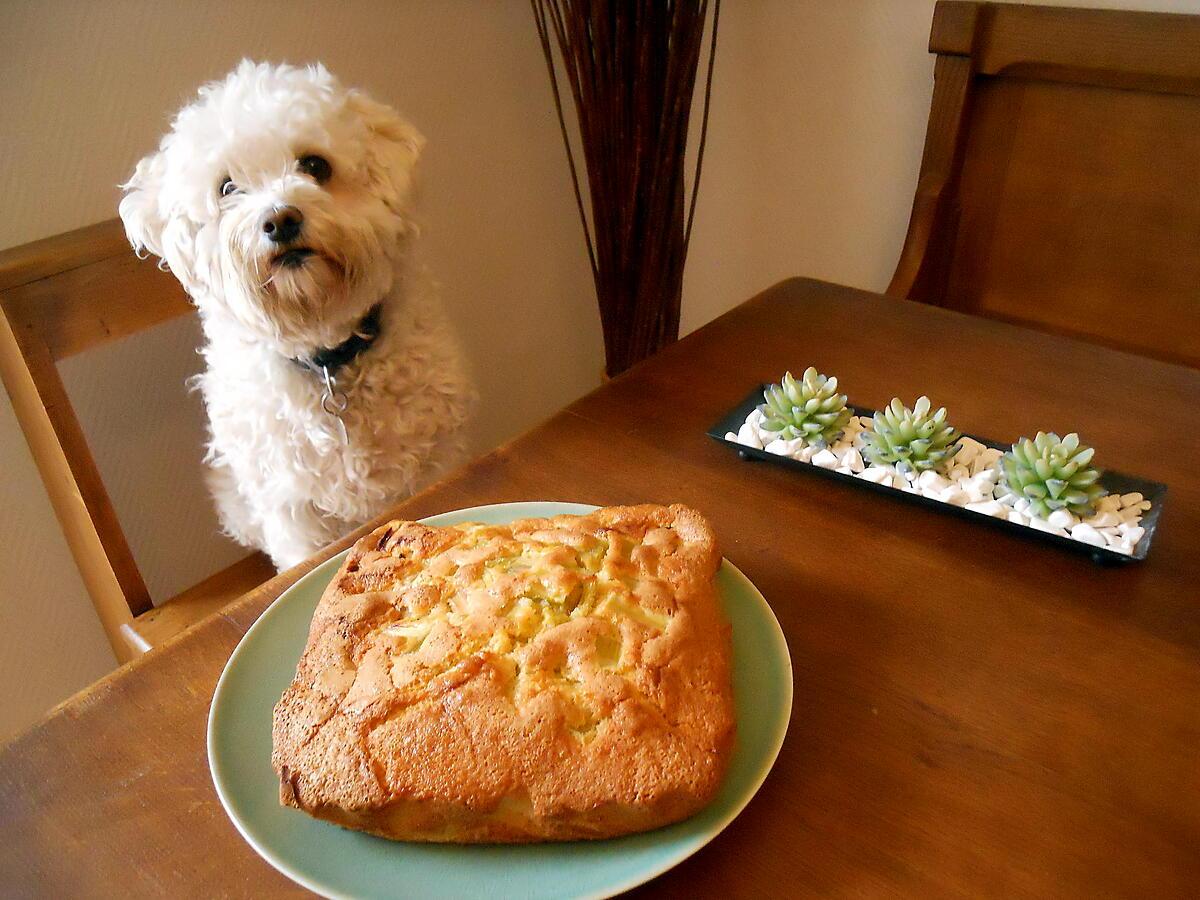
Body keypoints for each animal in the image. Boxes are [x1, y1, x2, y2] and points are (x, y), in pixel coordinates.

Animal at [121, 61, 472, 571]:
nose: (280, 219)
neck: (327, 357)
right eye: (227, 187)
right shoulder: (292, 509)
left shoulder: (433, 460)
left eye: (315, 165)